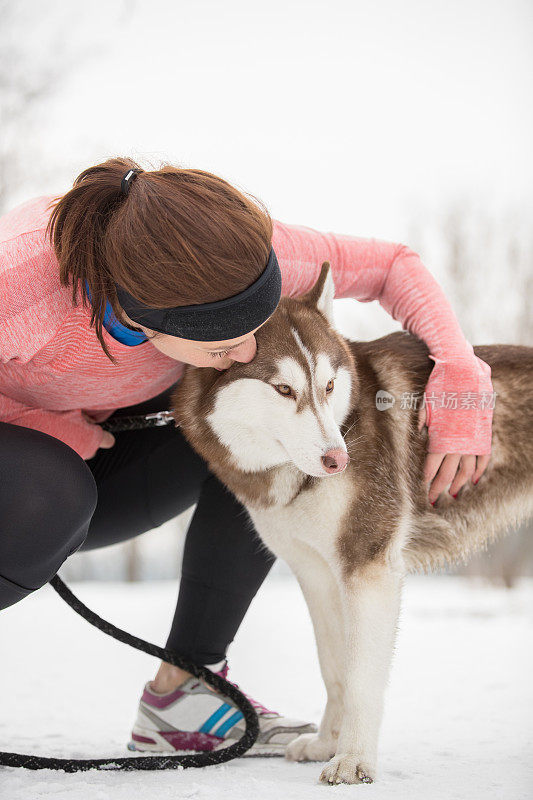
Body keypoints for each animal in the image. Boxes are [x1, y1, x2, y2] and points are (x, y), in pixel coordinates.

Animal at [169, 260, 532, 780]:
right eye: (283, 389)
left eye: (327, 387)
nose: (339, 459)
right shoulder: (318, 574)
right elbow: (335, 668)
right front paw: (328, 743)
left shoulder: (368, 567)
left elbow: (361, 676)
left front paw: (355, 759)